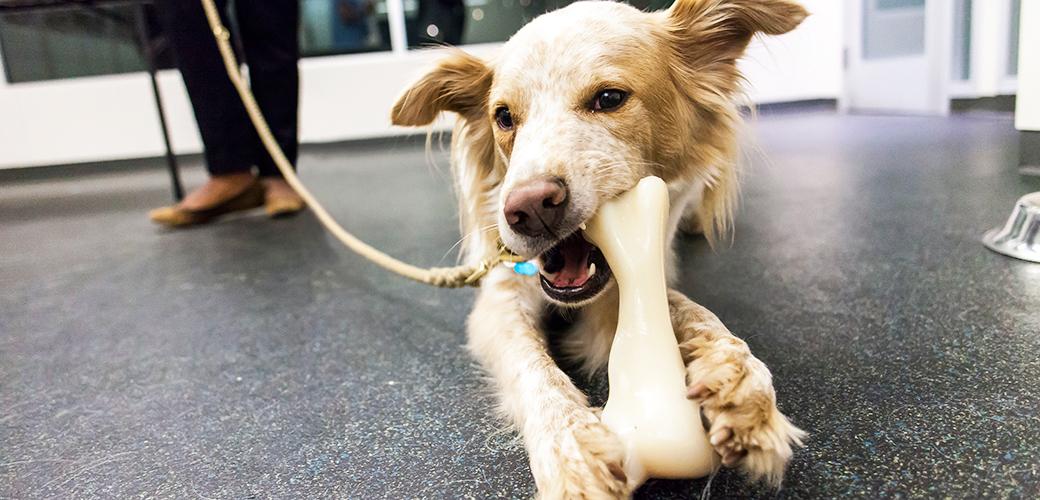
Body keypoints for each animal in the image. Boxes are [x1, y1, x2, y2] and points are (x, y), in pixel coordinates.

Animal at [393, 0, 807, 492]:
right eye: (504, 117)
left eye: (609, 98)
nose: (528, 208)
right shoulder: (500, 297)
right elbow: (533, 370)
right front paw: (572, 453)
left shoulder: (642, 274)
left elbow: (699, 315)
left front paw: (743, 382)